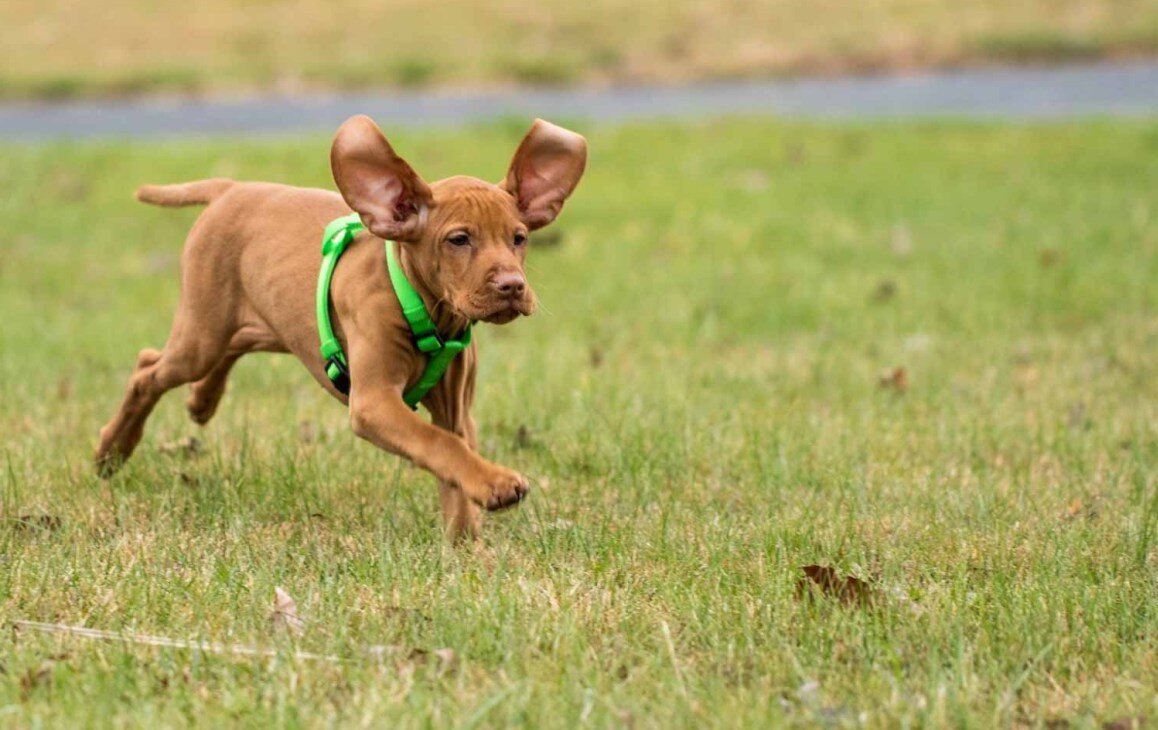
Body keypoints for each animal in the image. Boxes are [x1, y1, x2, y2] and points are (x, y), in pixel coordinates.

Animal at [96, 112, 588, 537]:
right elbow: (438, 445)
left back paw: (202, 401)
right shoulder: (373, 403)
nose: (512, 286)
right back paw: (112, 449)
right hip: (201, 334)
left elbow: (452, 459)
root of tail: (231, 188)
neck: (428, 310)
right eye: (459, 240)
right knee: (148, 368)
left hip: (259, 323)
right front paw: (497, 485)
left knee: (233, 345)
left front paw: (467, 546)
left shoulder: (455, 412)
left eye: (518, 238)